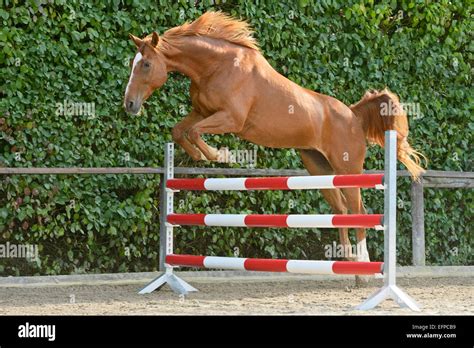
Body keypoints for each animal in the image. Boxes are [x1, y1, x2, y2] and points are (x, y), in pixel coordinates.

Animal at [123, 11, 426, 280]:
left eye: (145, 64)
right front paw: (199, 155)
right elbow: (180, 131)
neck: (216, 66)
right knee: (340, 209)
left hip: (347, 167)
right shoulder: (201, 111)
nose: (129, 105)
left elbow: (195, 132)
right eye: (132, 64)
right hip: (319, 167)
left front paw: (222, 155)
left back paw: (363, 262)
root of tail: (353, 115)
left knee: (357, 209)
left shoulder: (230, 118)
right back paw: (349, 264)